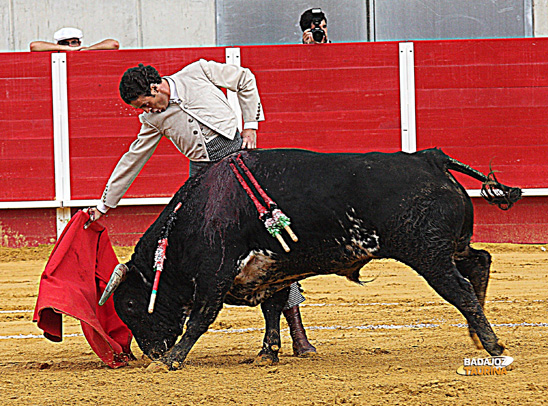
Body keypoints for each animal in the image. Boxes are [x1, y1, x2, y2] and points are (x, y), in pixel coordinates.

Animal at [104, 147, 524, 370]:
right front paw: (268, 353)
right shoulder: (272, 269)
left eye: (130, 304)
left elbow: (200, 319)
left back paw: (492, 345)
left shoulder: (214, 274)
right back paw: (477, 336)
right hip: (449, 247)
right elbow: (272, 309)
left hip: (428, 254)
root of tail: (431, 158)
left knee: (461, 290)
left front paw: (172, 360)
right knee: (480, 262)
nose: (150, 352)